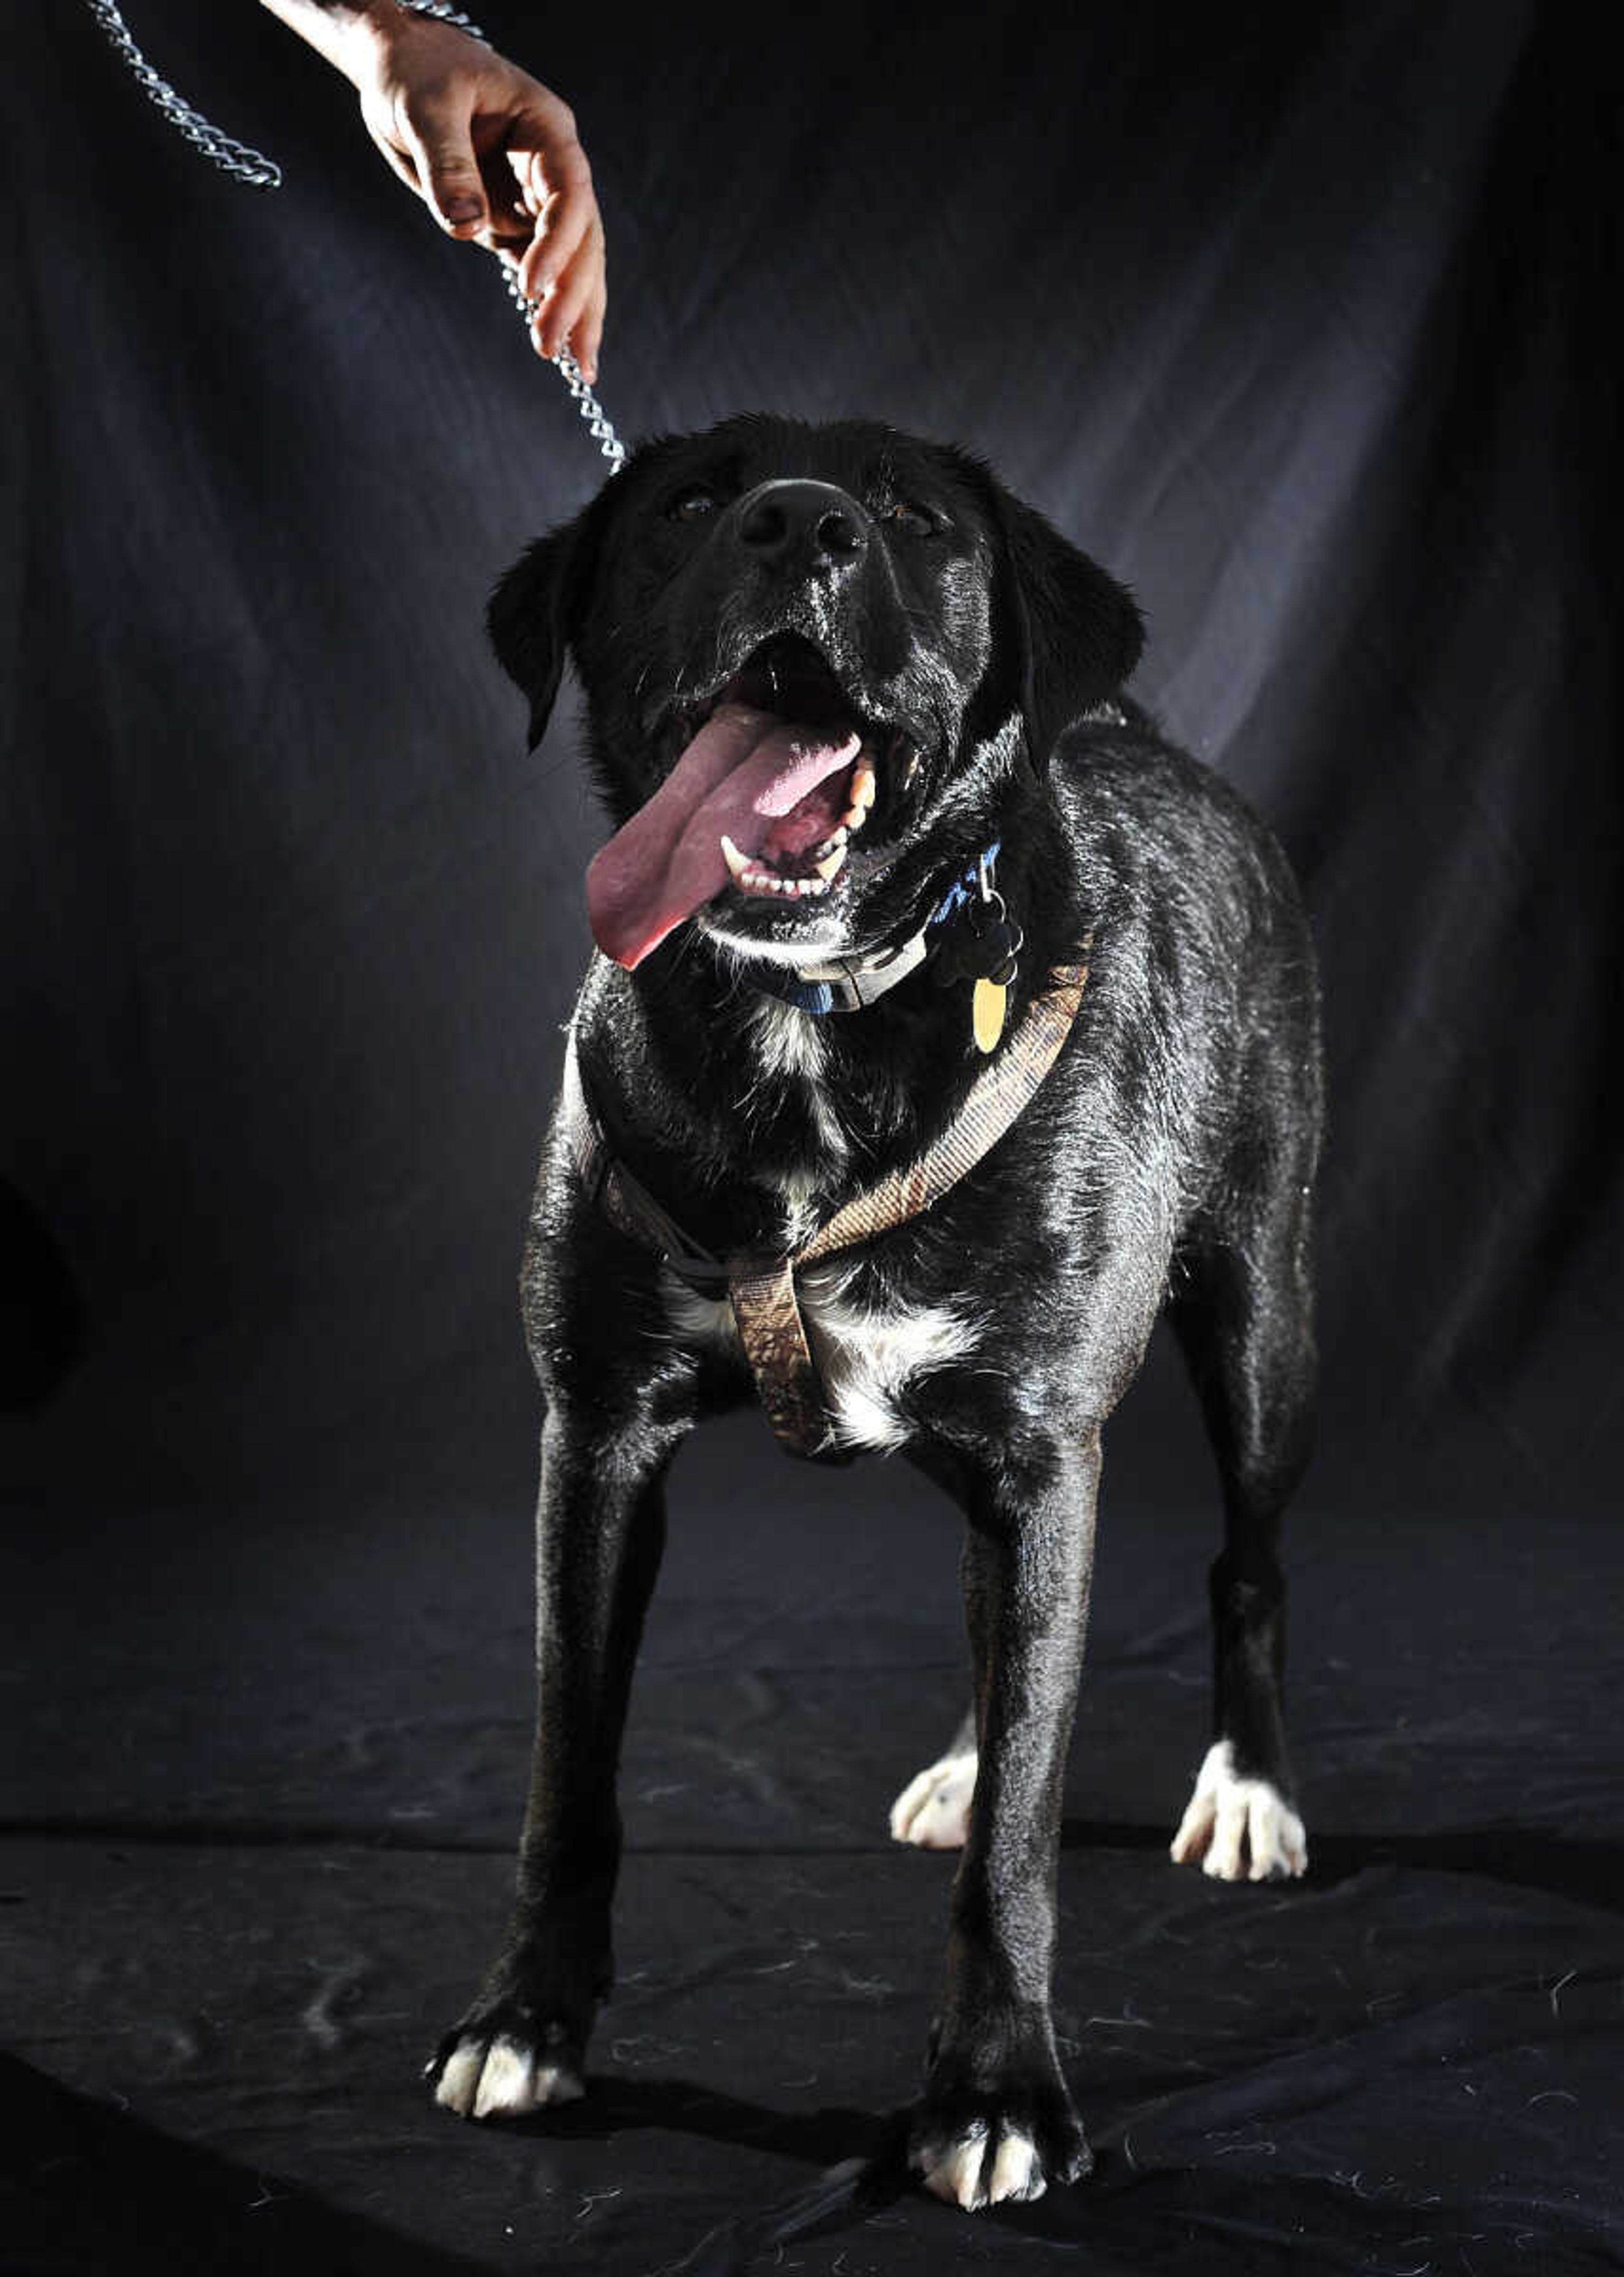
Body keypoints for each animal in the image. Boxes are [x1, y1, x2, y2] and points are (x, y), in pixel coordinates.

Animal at [423, 409, 1321, 2204]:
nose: (799, 524)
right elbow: (569, 1768)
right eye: (690, 502)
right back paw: (973, 1754)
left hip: (1265, 1318)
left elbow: (1025, 1838)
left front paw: (994, 2092)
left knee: (1243, 1560)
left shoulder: (1044, 1454)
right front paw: (526, 2017)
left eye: (912, 520)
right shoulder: (597, 1434)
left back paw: (1247, 1787)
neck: (812, 1013)